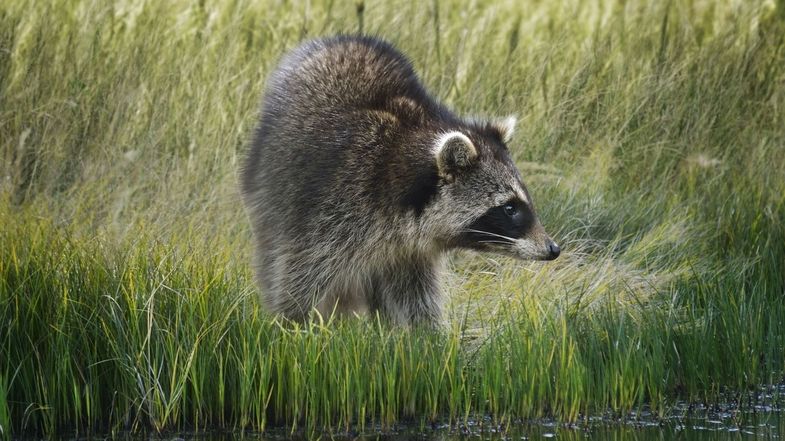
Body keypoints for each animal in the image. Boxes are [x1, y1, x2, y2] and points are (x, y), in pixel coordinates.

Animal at [239, 36, 556, 324]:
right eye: (509, 207)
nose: (553, 248)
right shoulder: (333, 209)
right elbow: (300, 274)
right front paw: (291, 326)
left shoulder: (410, 252)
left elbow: (418, 298)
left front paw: (428, 340)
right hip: (269, 188)